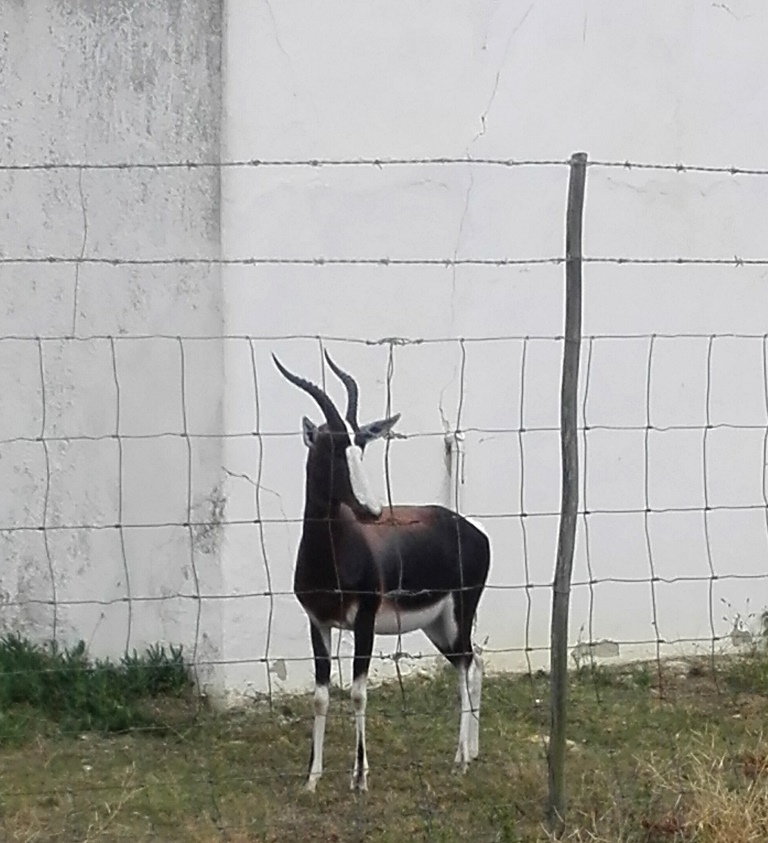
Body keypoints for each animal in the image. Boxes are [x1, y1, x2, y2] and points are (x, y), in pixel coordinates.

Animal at [276, 350, 488, 792]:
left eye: (361, 445)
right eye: (332, 447)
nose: (371, 510)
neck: (335, 554)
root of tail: (473, 531)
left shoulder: (365, 622)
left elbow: (358, 693)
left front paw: (360, 779)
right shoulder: (318, 623)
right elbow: (321, 695)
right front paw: (311, 779)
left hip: (458, 615)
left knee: (467, 668)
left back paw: (460, 760)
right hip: (438, 626)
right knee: (473, 663)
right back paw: (471, 754)